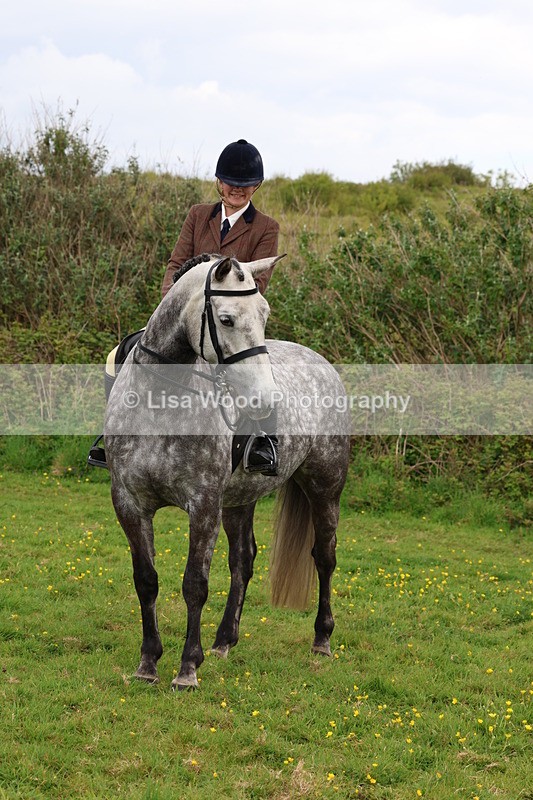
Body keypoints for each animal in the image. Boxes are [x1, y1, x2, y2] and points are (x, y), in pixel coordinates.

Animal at [104, 253, 350, 690]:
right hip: (239, 498)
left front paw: (187, 669)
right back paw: (224, 641)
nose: (266, 401)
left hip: (325, 488)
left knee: (324, 557)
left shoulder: (203, 505)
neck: (158, 403)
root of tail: (321, 362)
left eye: (265, 314)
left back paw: (321, 639)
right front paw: (148, 663)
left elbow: (194, 584)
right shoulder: (130, 503)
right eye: (226, 319)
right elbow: (146, 580)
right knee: (243, 560)